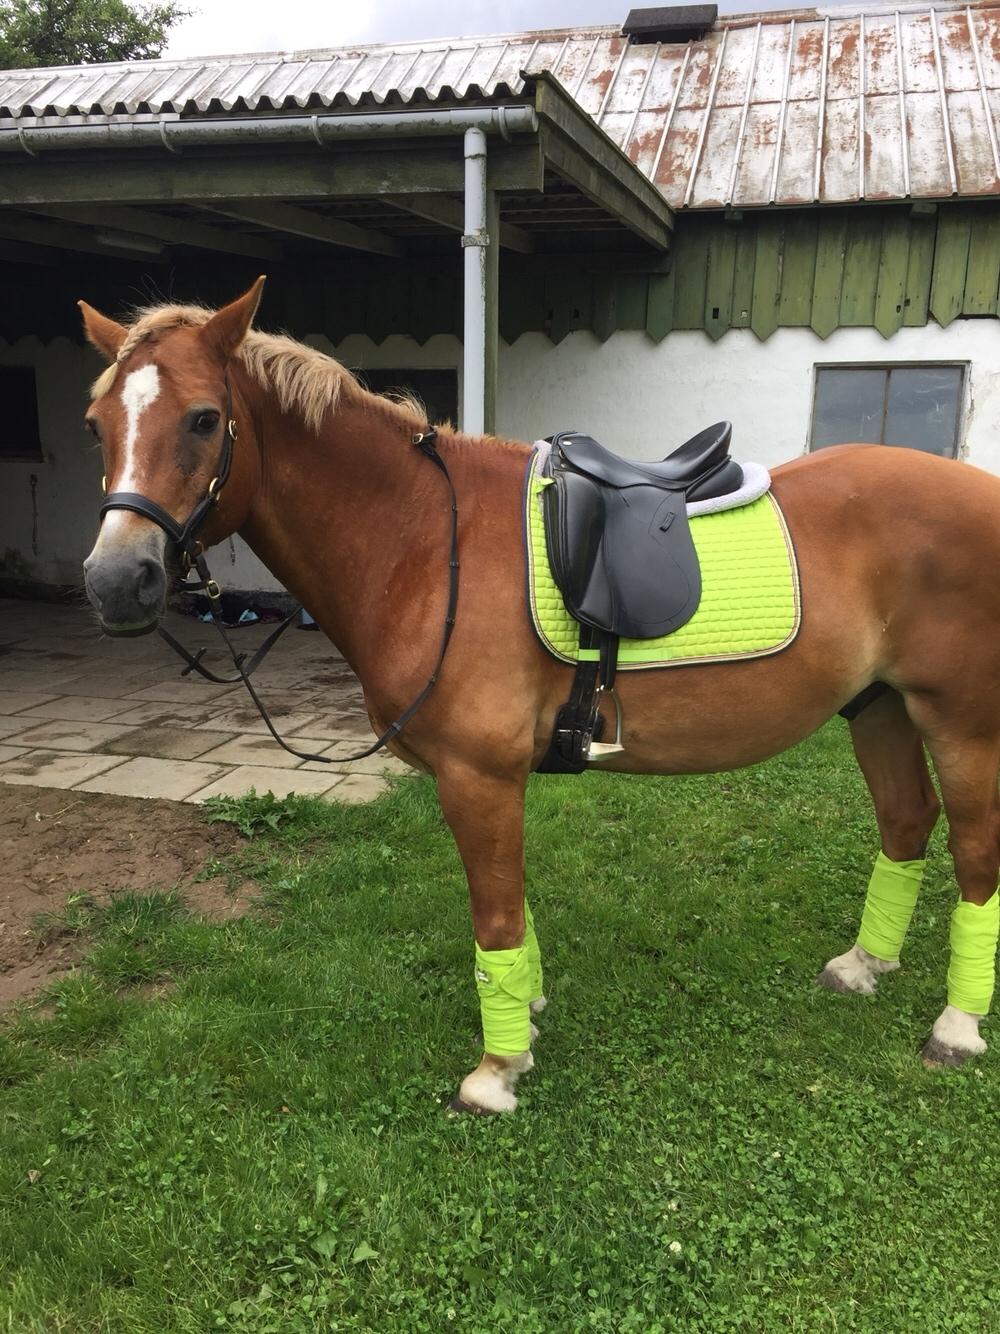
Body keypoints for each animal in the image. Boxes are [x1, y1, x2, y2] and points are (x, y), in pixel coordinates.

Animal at [80, 284, 1000, 1115]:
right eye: (97, 424)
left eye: (204, 419)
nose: (116, 582)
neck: (425, 539)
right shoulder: (494, 785)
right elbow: (515, 914)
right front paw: (524, 1012)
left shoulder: (478, 779)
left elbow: (493, 921)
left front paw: (496, 1071)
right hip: (879, 707)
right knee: (906, 823)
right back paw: (864, 966)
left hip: (959, 722)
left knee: (974, 857)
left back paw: (956, 1027)